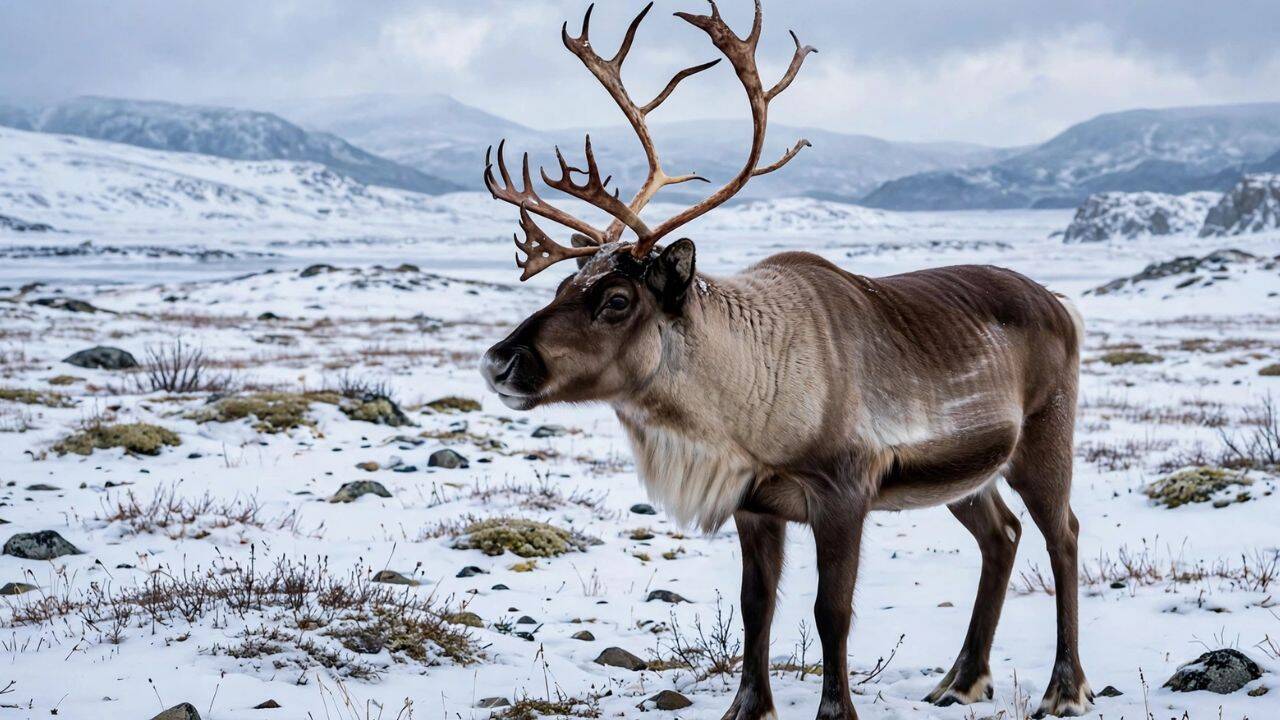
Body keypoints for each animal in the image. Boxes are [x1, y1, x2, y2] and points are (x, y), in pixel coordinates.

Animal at [478, 2, 1092, 718]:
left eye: (617, 299)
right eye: (560, 286)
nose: (499, 361)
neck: (740, 407)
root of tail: (1060, 303)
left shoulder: (845, 491)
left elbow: (833, 611)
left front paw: (836, 709)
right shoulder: (755, 505)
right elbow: (757, 606)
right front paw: (747, 707)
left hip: (1044, 437)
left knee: (1062, 534)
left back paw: (1065, 688)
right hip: (965, 470)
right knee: (1002, 534)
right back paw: (961, 679)